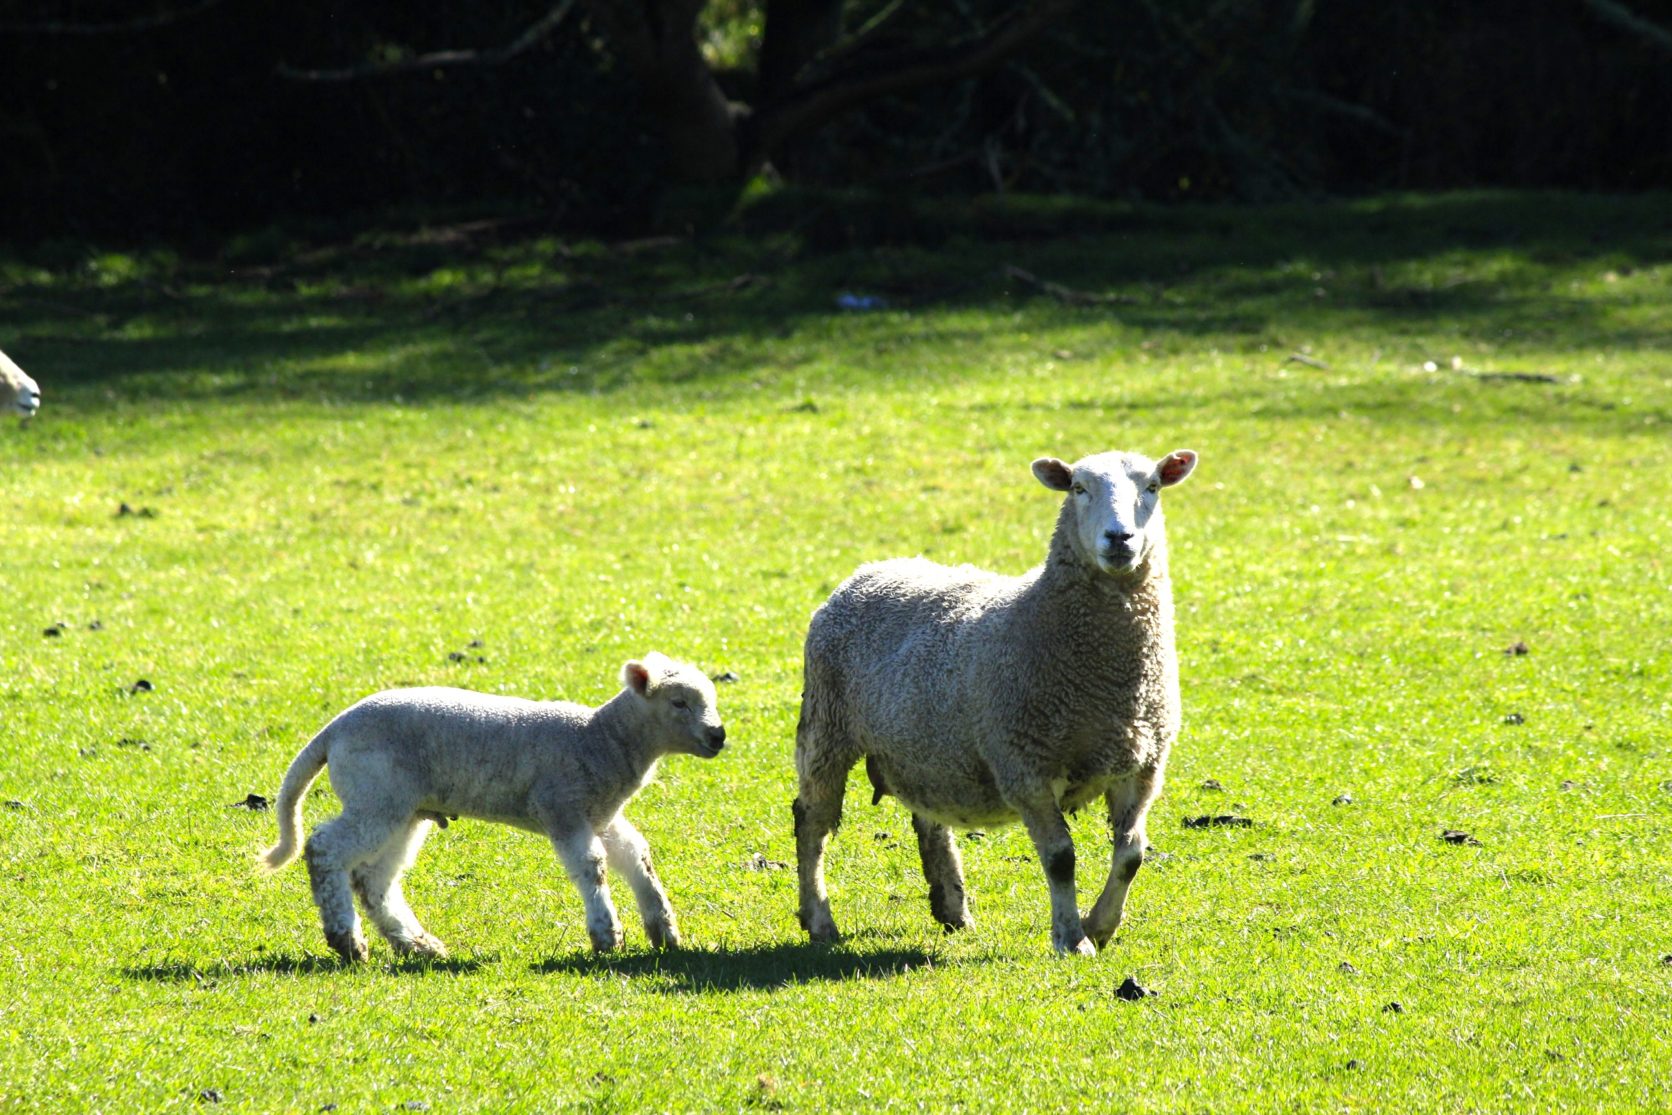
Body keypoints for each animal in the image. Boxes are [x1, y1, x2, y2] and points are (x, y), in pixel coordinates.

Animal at [259, 655, 725, 962]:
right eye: (679, 703)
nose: (718, 735)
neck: (601, 738)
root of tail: (333, 730)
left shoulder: (600, 813)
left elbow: (637, 856)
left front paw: (664, 930)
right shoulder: (563, 805)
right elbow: (592, 867)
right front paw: (607, 935)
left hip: (402, 807)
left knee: (374, 879)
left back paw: (418, 944)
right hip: (375, 795)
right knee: (325, 849)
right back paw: (347, 940)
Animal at [789, 448, 1197, 956]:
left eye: (1153, 486)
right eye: (1078, 488)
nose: (1119, 538)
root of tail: (867, 571)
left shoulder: (1142, 766)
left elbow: (1131, 856)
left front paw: (1100, 926)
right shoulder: (1025, 762)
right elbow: (1060, 858)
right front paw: (1072, 939)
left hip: (927, 748)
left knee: (930, 820)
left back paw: (952, 907)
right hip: (826, 729)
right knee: (812, 823)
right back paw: (819, 920)